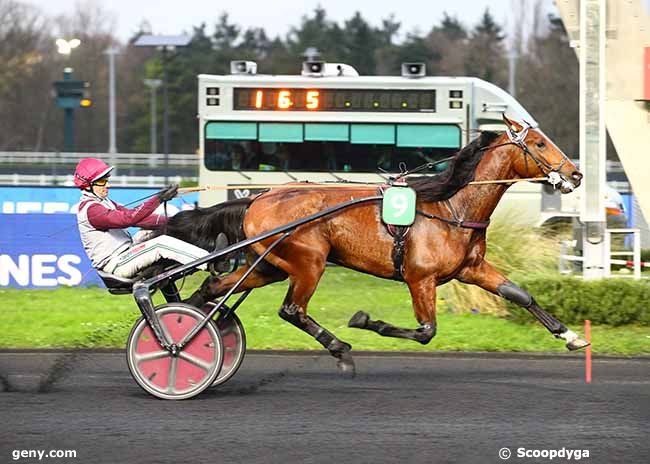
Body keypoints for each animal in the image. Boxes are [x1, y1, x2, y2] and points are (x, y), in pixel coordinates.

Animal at [163, 116, 588, 374]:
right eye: (539, 143)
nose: (576, 174)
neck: (451, 206)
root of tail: (258, 198)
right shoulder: (420, 278)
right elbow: (426, 331)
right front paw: (367, 321)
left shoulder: (471, 269)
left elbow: (519, 294)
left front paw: (571, 336)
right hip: (308, 262)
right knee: (291, 310)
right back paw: (339, 348)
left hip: (269, 265)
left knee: (213, 287)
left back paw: (189, 332)